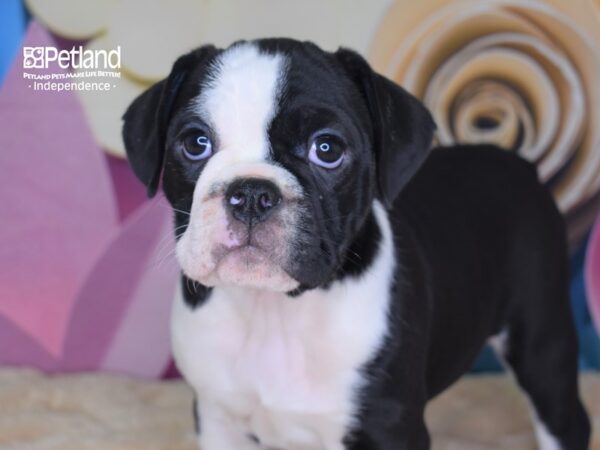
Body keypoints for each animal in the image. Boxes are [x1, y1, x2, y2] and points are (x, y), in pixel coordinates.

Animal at [122, 38, 592, 450]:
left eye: (327, 149)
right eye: (195, 143)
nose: (252, 193)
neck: (275, 311)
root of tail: (518, 164)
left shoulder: (388, 427)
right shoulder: (219, 419)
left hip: (541, 338)